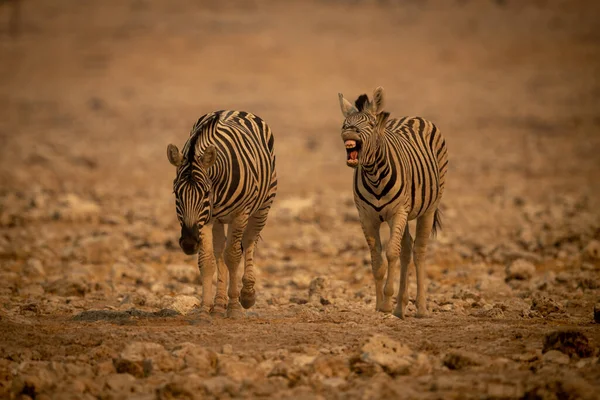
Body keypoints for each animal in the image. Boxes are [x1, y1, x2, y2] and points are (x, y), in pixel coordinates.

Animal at [164, 109, 276, 318]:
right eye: (176, 193)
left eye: (205, 193)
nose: (189, 243)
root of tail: (236, 109)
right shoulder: (205, 220)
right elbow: (207, 261)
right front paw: (205, 308)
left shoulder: (240, 214)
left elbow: (233, 255)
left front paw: (234, 307)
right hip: (217, 220)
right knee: (219, 251)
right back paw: (218, 304)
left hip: (262, 207)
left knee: (249, 242)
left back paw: (247, 295)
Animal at [338, 86, 446, 318]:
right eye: (344, 125)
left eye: (370, 125)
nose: (349, 135)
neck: (374, 176)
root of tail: (415, 117)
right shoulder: (366, 216)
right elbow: (377, 258)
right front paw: (381, 305)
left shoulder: (397, 213)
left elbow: (390, 253)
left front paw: (387, 300)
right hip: (405, 214)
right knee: (406, 249)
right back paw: (400, 307)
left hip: (427, 208)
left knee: (418, 250)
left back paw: (421, 308)